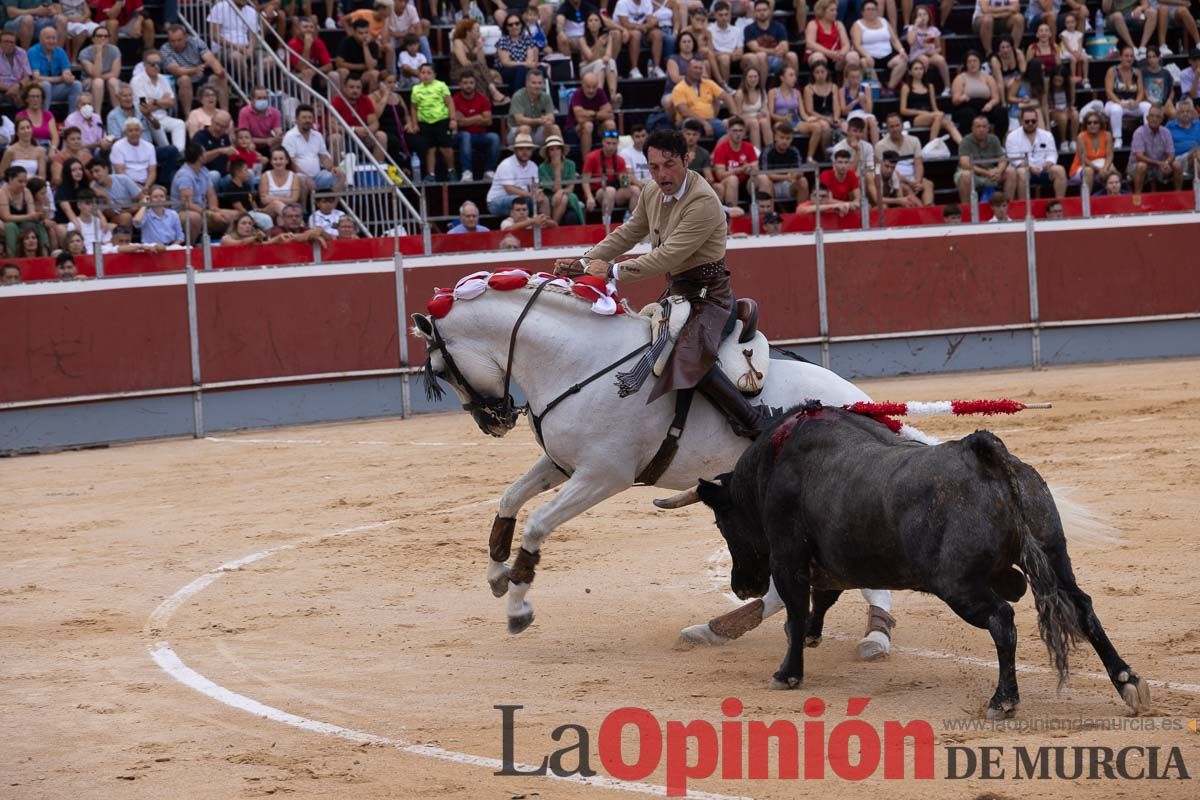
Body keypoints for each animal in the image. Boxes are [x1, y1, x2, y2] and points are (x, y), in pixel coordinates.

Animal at [410, 278, 926, 652]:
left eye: (440, 370)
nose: (492, 420)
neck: (579, 362)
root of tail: (867, 405)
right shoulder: (564, 464)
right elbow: (510, 497)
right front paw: (497, 576)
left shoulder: (604, 475)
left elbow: (537, 524)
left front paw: (518, 608)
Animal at [696, 407, 1152, 719]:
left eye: (723, 522)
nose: (742, 586)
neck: (773, 464)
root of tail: (980, 451)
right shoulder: (833, 559)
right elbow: (822, 598)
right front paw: (811, 634)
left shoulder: (788, 556)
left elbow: (794, 607)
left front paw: (788, 673)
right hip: (1055, 554)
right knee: (1082, 606)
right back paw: (1128, 682)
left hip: (957, 585)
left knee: (1002, 620)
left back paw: (1003, 700)